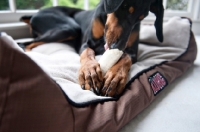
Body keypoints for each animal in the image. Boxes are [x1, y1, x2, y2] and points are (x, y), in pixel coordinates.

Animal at [20, 0, 164, 97]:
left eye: (141, 18)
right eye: (123, 7)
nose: (118, 46)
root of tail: (33, 15)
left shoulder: (132, 52)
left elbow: (126, 57)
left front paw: (115, 78)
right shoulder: (86, 43)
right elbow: (88, 52)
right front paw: (89, 72)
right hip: (69, 28)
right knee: (25, 44)